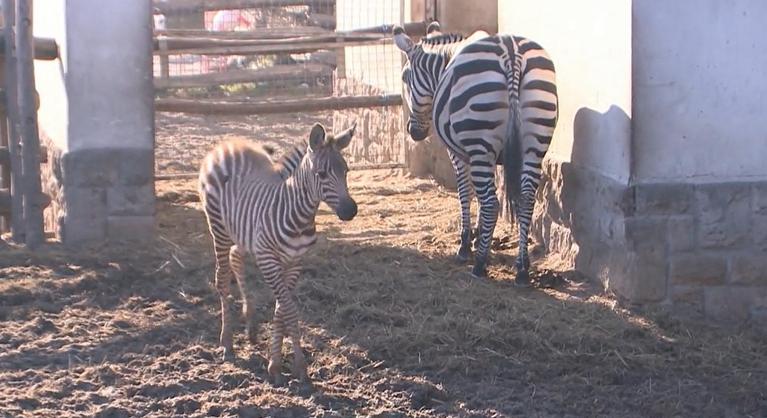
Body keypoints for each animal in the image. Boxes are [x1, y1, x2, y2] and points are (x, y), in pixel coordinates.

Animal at [195, 122, 356, 384]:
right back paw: (227, 343)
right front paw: (298, 367)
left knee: (236, 257)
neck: (297, 215)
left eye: (346, 171)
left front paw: (275, 363)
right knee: (222, 279)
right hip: (218, 228)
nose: (351, 210)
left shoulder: (295, 262)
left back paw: (250, 326)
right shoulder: (267, 259)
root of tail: (226, 144)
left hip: (243, 231)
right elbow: (289, 309)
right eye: (321, 174)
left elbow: (281, 308)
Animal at [396, 22, 560, 284]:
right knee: (525, 198)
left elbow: (466, 193)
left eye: (405, 77)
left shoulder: (460, 154)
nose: (415, 133)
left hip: (480, 140)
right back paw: (522, 269)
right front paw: (483, 239)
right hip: (534, 143)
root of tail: (511, 53)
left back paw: (480, 265)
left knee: (493, 202)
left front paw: (466, 245)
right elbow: (481, 199)